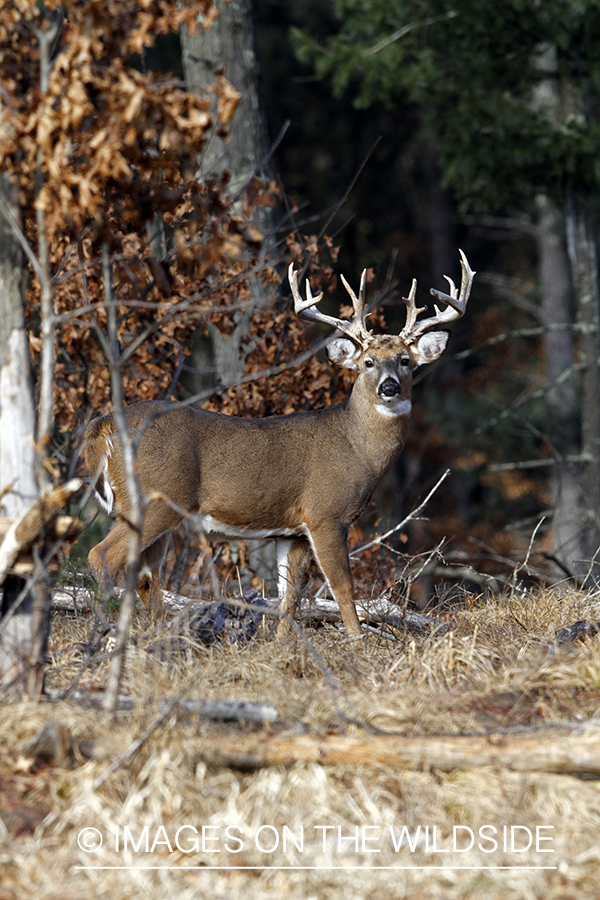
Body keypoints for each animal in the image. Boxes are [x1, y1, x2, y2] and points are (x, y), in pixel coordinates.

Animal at [83, 250, 474, 636]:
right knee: (101, 556)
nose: (389, 386)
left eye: (406, 360)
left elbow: (291, 594)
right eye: (368, 362)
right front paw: (357, 642)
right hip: (153, 499)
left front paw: (285, 643)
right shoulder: (325, 513)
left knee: (146, 576)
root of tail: (102, 426)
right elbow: (342, 588)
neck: (356, 447)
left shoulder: (292, 531)